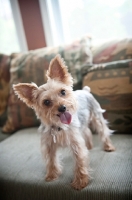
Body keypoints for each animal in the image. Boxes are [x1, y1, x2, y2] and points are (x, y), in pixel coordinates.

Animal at [12, 55, 115, 190]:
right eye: (46, 102)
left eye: (63, 92)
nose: (62, 108)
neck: (58, 127)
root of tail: (85, 90)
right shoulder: (49, 145)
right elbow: (51, 161)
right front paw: (51, 175)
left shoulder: (76, 144)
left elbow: (80, 162)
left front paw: (80, 182)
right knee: (87, 131)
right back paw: (89, 145)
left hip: (96, 116)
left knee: (103, 131)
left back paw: (108, 146)